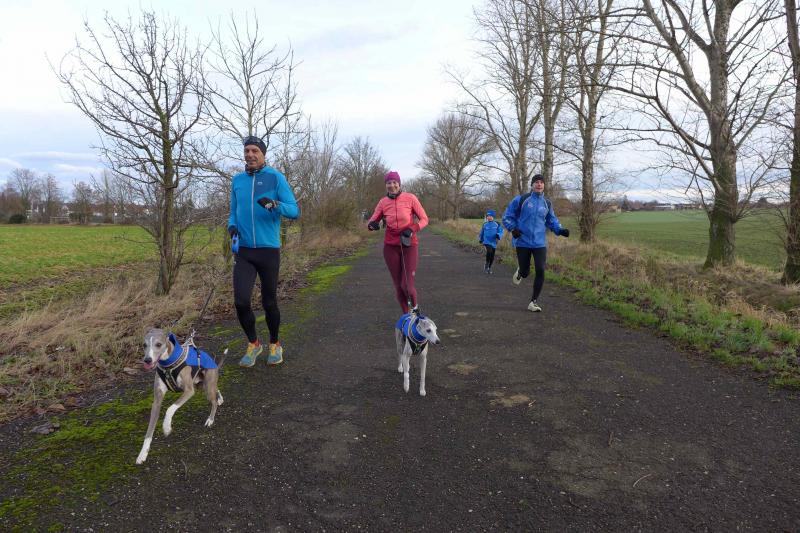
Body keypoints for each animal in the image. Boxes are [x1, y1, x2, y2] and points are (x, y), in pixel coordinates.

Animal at [136, 328, 225, 465]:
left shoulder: (189, 391)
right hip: (201, 385)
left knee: (213, 402)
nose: (147, 360)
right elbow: (149, 431)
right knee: (216, 389)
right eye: (144, 345)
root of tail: (214, 363)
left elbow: (170, 408)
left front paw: (166, 427)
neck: (168, 364)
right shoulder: (156, 401)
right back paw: (219, 398)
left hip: (206, 387)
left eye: (158, 344)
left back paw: (210, 419)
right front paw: (142, 454)